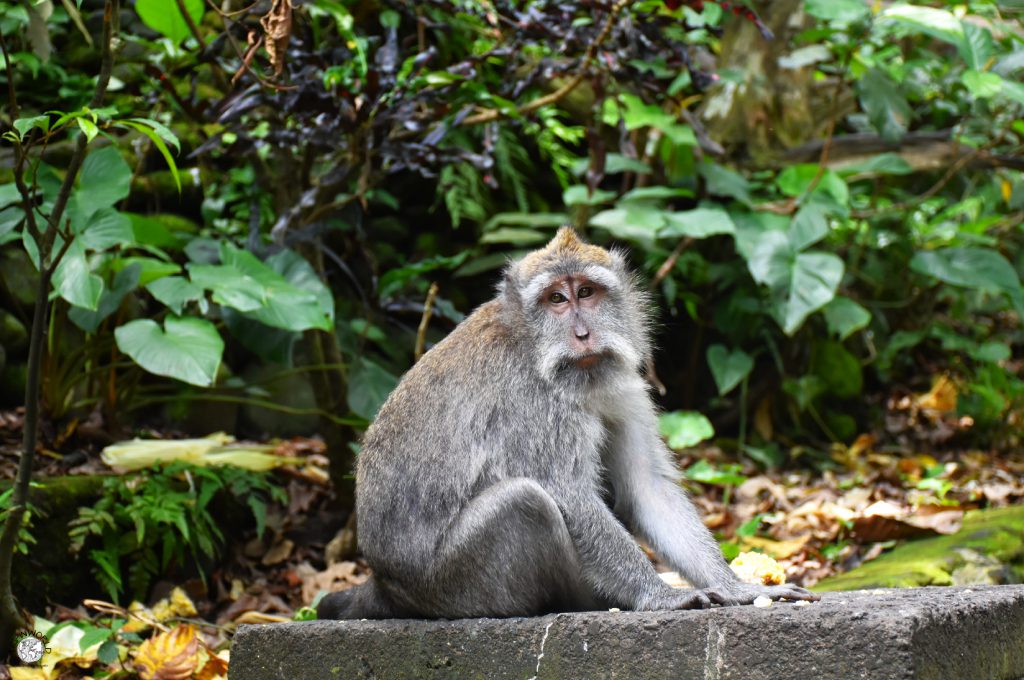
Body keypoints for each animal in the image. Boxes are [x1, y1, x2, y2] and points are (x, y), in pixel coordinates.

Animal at [318, 227, 818, 620]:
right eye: (556, 299)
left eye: (587, 293)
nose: (582, 334)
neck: (535, 348)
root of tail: (385, 584)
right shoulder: (535, 407)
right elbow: (568, 495)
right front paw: (660, 597)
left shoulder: (622, 387)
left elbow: (646, 487)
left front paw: (739, 589)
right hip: (454, 583)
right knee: (525, 501)